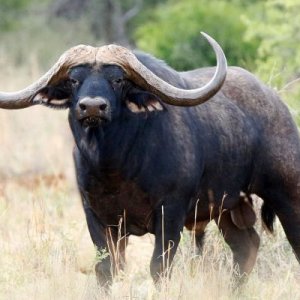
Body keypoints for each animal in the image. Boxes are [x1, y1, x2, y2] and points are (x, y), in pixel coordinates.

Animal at [0, 33, 300, 286]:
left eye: (118, 80)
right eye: (74, 80)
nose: (92, 107)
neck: (116, 167)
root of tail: (278, 104)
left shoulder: (171, 214)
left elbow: (159, 268)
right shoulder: (98, 218)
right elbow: (106, 269)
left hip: (286, 193)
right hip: (227, 208)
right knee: (246, 245)